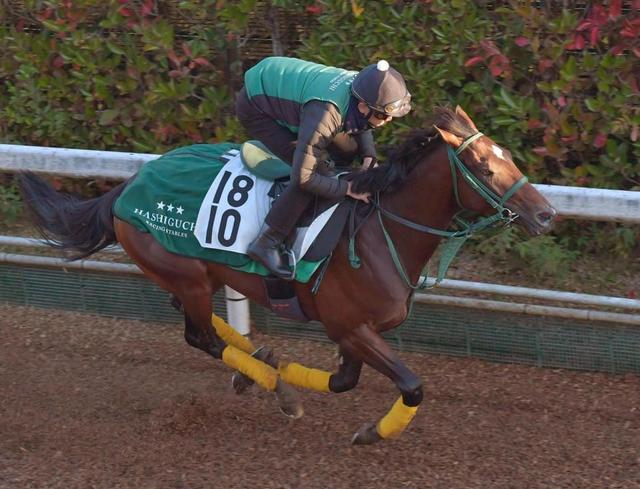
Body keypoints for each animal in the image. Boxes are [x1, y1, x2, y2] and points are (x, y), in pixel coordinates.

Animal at [20, 106, 556, 442]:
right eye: (485, 169)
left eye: (509, 157)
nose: (547, 214)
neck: (381, 231)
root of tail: (130, 185)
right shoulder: (350, 326)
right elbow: (411, 384)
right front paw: (369, 432)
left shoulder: (352, 332)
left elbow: (343, 381)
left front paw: (288, 371)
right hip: (188, 275)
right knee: (198, 336)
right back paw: (274, 387)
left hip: (195, 276)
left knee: (193, 319)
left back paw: (256, 361)